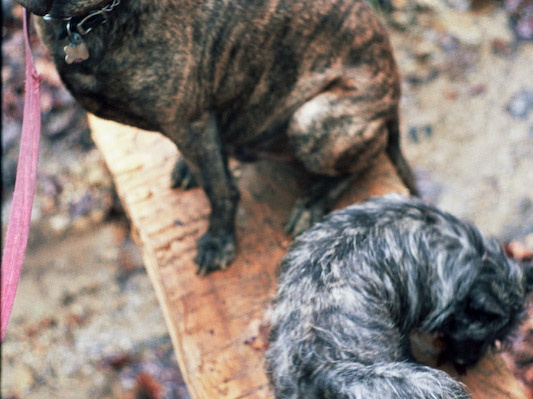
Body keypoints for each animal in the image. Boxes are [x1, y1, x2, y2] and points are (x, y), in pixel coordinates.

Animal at [17, 0, 416, 276]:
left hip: (311, 122)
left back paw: (312, 201)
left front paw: (218, 241)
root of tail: (394, 90)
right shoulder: (196, 125)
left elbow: (221, 190)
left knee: (366, 158)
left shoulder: (190, 121)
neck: (90, 19)